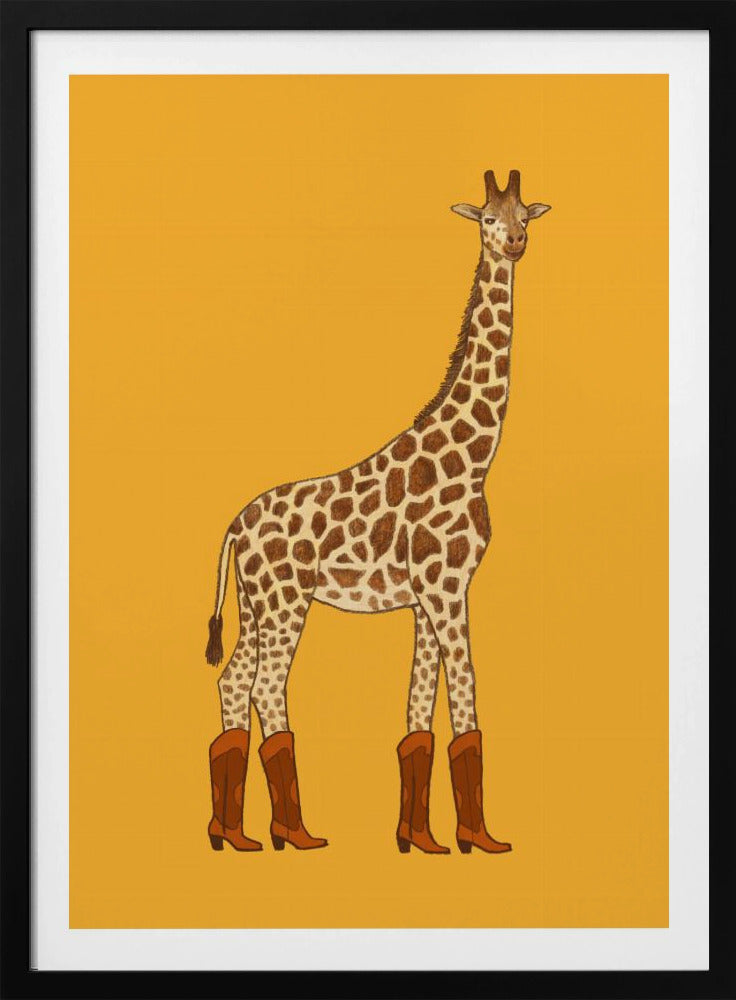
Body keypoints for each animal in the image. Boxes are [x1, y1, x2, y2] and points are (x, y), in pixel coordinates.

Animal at [205, 169, 551, 854]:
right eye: (487, 220)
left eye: (526, 215)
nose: (516, 244)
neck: (475, 456)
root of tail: (234, 527)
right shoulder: (446, 586)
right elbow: (465, 696)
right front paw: (480, 839)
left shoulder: (426, 596)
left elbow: (419, 713)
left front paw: (421, 839)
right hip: (287, 601)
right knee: (265, 685)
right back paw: (295, 833)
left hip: (255, 604)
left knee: (234, 682)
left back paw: (235, 834)